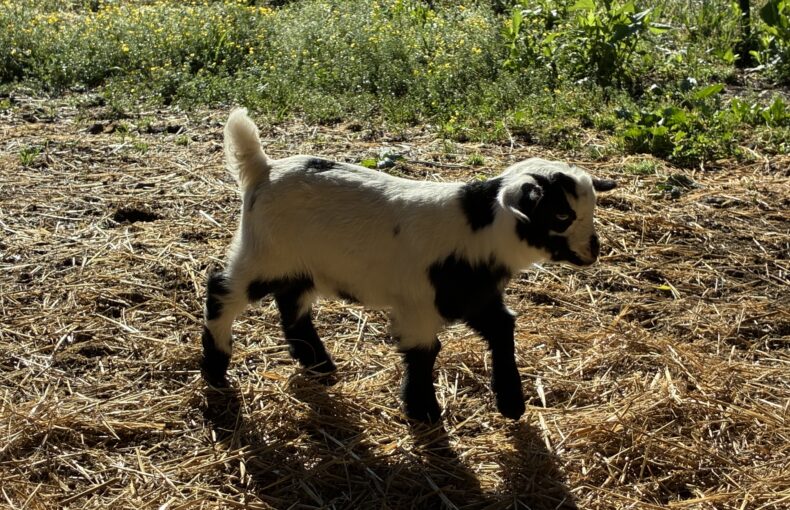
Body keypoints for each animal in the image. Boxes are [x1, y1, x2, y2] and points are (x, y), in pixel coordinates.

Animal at [201, 109, 616, 423]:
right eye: (561, 214)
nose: (593, 250)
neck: (478, 230)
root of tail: (264, 169)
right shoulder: (418, 305)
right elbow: (424, 352)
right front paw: (423, 411)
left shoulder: (476, 298)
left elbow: (503, 330)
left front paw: (511, 403)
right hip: (263, 254)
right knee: (221, 291)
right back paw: (216, 369)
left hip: (300, 265)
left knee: (291, 303)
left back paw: (319, 365)